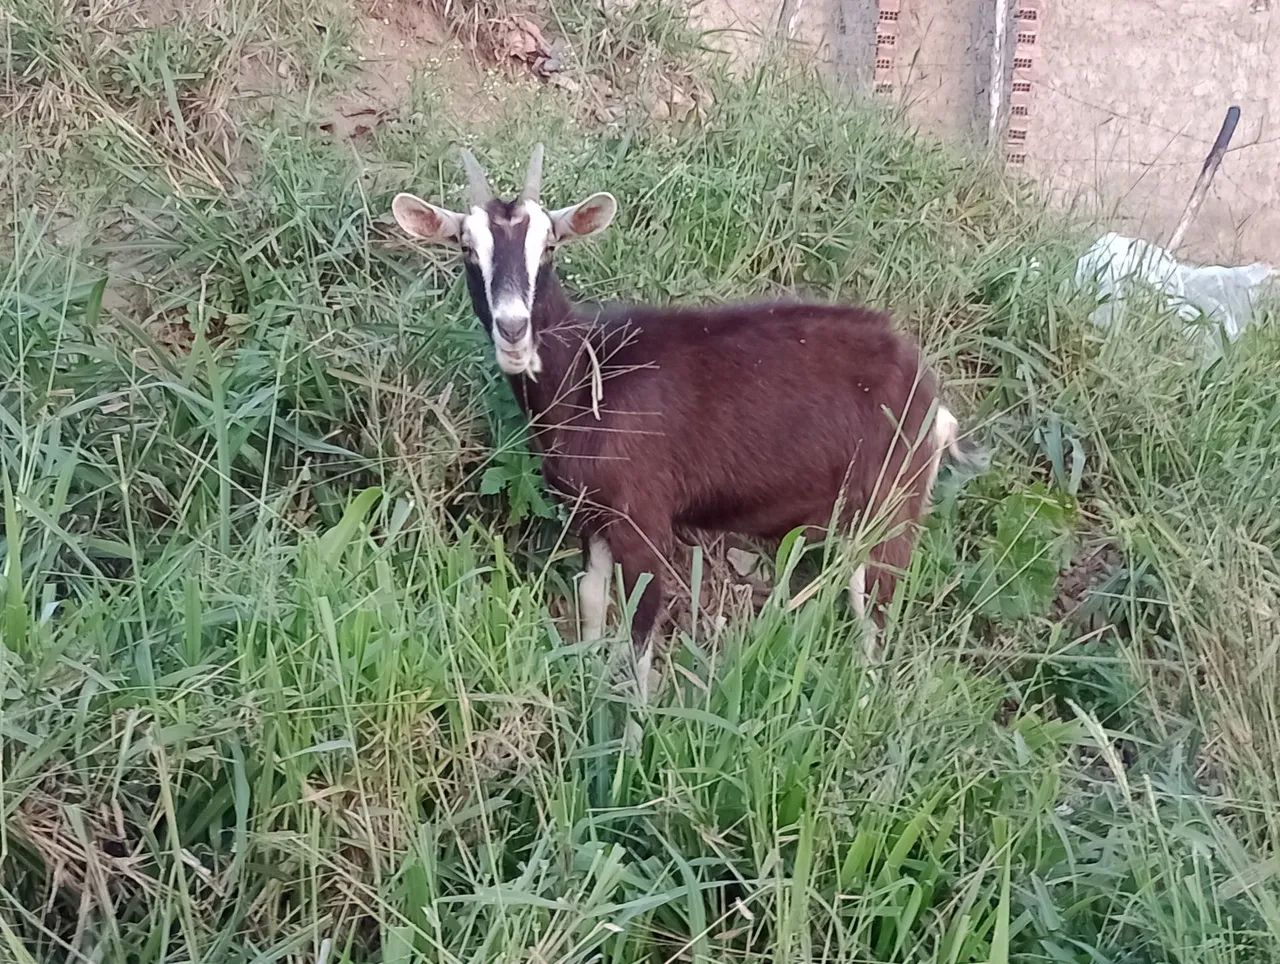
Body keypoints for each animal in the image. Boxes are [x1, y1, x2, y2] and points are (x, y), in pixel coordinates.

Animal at [392, 144, 976, 685]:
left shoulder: (644, 517)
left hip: (891, 505)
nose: (513, 329)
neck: (590, 371)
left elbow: (641, 635)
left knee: (873, 610)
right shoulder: (590, 514)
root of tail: (931, 397)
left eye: (550, 246)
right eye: (467, 247)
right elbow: (591, 604)